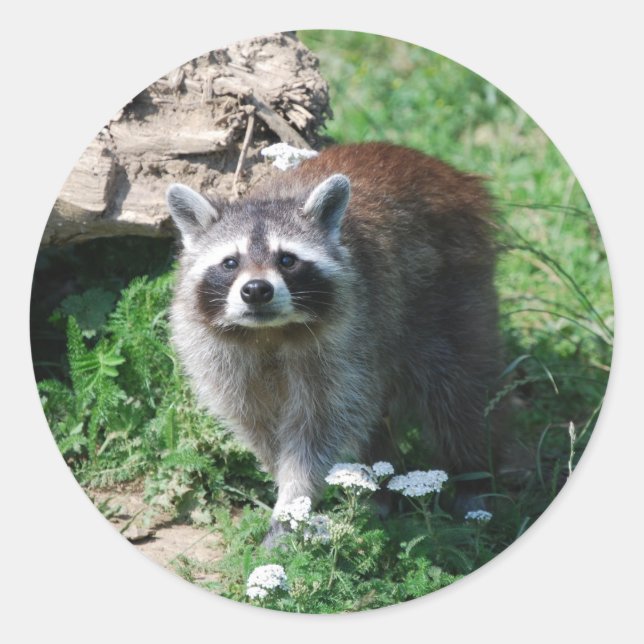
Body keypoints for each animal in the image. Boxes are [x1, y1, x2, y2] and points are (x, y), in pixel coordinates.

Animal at [167, 142, 504, 542]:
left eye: (287, 260)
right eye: (230, 262)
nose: (257, 290)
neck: (270, 331)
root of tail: (444, 170)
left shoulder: (346, 335)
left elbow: (321, 425)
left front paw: (293, 500)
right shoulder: (219, 353)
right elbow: (258, 422)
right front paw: (285, 484)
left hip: (454, 291)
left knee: (457, 393)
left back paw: (471, 477)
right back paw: (379, 487)